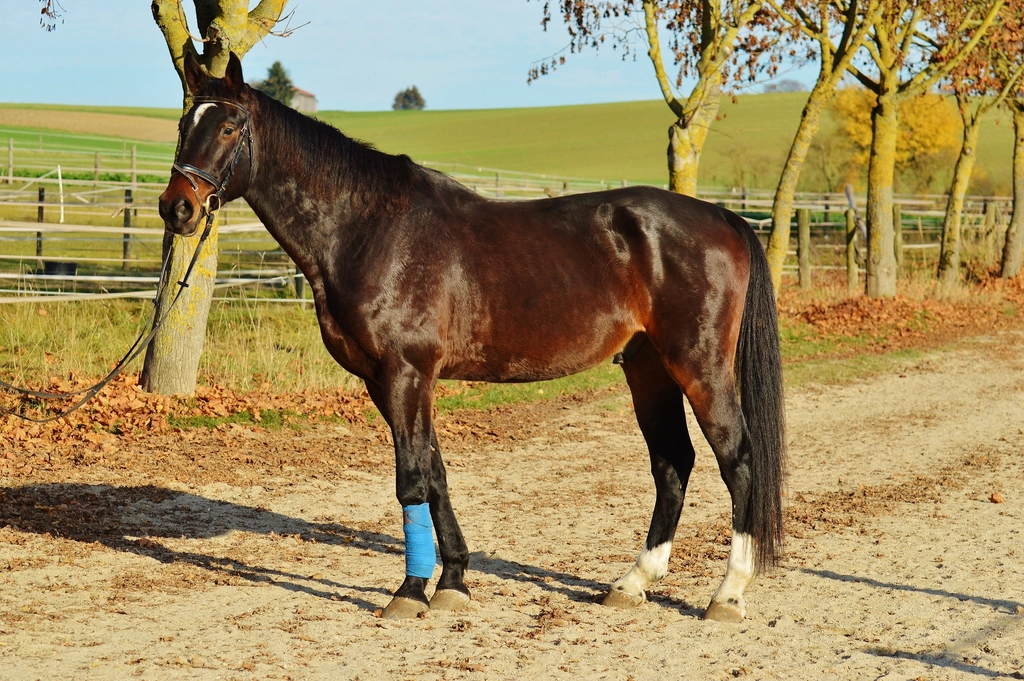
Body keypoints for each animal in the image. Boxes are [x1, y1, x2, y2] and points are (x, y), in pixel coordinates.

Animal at [158, 52, 786, 622]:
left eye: (230, 126)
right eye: (185, 123)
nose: (176, 209)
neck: (371, 229)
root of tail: (723, 218)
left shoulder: (407, 372)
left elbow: (411, 480)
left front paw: (410, 591)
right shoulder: (387, 382)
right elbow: (434, 474)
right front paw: (454, 581)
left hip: (698, 365)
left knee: (738, 459)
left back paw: (728, 594)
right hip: (648, 368)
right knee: (673, 462)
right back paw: (633, 583)